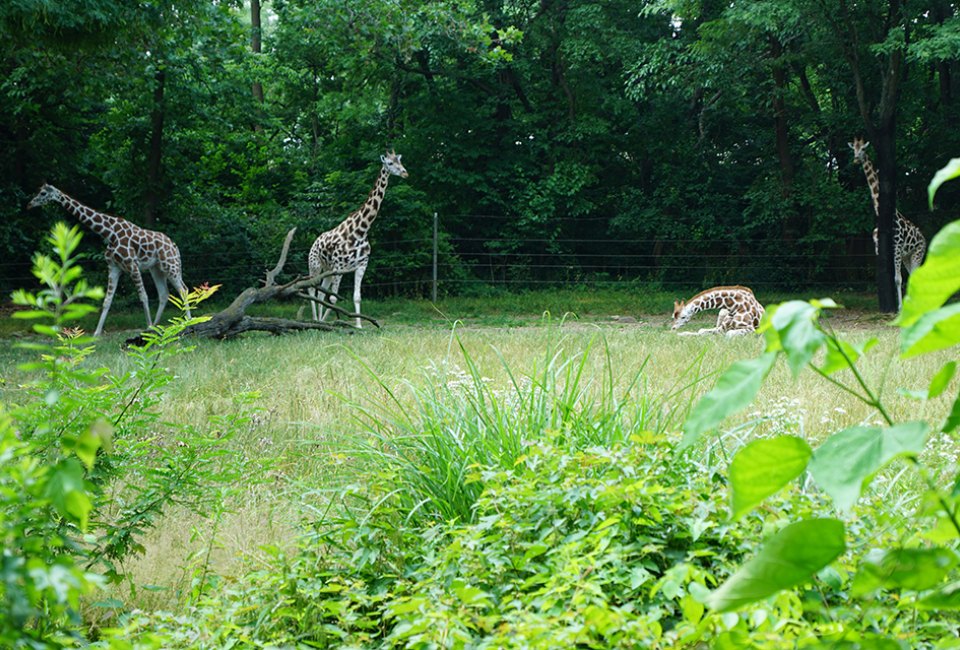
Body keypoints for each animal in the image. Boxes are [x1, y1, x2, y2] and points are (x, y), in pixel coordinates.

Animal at [26, 181, 189, 334]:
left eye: (42, 193)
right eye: (38, 191)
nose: (29, 204)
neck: (109, 233)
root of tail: (174, 246)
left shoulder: (132, 264)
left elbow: (143, 296)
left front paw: (147, 327)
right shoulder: (113, 267)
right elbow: (107, 300)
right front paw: (97, 333)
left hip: (170, 265)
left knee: (183, 290)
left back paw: (187, 322)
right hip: (156, 269)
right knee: (164, 294)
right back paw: (156, 326)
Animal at [310, 149, 406, 326]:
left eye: (400, 162)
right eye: (390, 163)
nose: (405, 172)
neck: (361, 231)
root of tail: (315, 242)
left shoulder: (361, 266)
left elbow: (356, 297)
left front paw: (359, 325)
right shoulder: (339, 267)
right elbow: (333, 298)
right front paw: (335, 322)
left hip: (327, 270)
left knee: (320, 293)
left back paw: (320, 321)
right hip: (315, 266)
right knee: (312, 290)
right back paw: (315, 320)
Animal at [852, 136, 928, 308]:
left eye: (863, 149)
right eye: (853, 149)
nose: (856, 159)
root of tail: (924, 238)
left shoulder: (897, 248)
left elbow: (898, 279)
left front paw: (899, 307)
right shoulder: (880, 249)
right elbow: (889, 276)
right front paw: (896, 305)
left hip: (918, 253)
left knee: (916, 276)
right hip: (908, 256)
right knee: (912, 277)